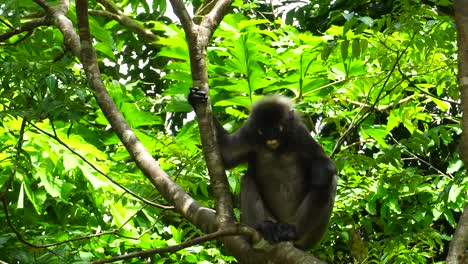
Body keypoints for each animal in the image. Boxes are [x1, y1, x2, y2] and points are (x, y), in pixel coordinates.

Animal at [188, 88, 338, 250]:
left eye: (277, 128)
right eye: (263, 130)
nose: (271, 135)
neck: (278, 148)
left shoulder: (299, 133)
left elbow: (325, 164)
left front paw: (320, 178)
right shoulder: (249, 132)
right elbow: (227, 155)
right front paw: (195, 99)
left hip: (311, 237)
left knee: (330, 181)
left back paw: (292, 230)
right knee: (247, 178)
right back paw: (265, 227)